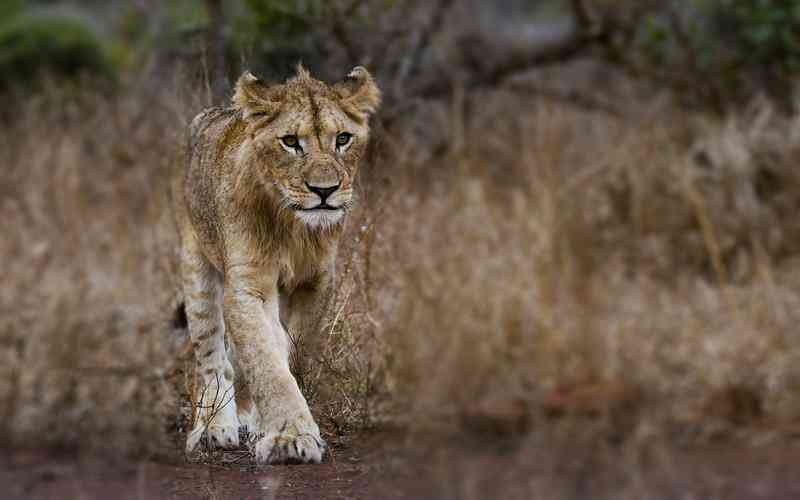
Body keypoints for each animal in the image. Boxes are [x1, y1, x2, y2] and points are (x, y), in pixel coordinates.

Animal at [171, 64, 382, 462]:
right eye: (290, 141)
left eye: (343, 138)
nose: (325, 191)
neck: (294, 227)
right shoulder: (248, 285)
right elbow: (266, 360)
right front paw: (290, 436)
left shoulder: (317, 282)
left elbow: (289, 350)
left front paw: (271, 426)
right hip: (197, 266)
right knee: (212, 358)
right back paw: (213, 427)